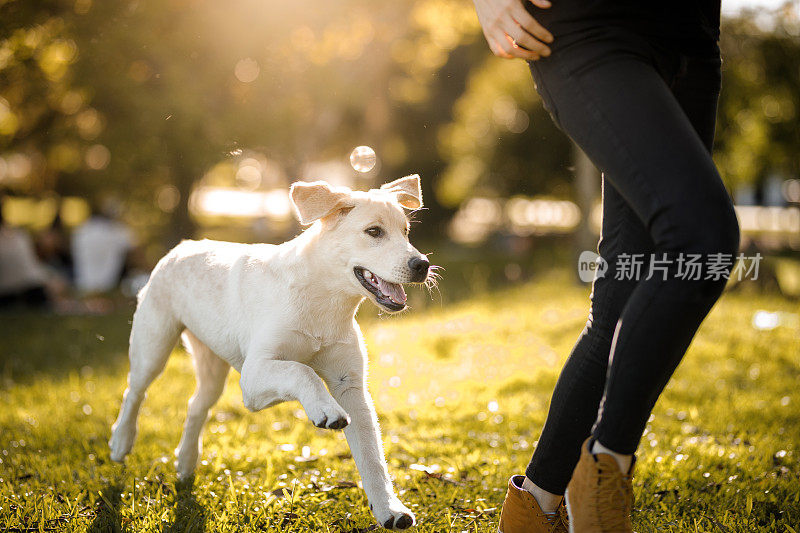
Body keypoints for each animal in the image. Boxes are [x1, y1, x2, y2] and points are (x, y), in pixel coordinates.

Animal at [111, 175, 432, 528]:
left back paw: (185, 462)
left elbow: (373, 457)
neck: (323, 301)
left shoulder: (350, 385)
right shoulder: (253, 378)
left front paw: (390, 510)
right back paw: (121, 441)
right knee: (134, 391)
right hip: (153, 344)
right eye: (374, 231)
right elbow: (301, 370)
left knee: (196, 404)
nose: (422, 264)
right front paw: (325, 409)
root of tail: (182, 246)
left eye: (406, 231)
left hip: (211, 366)